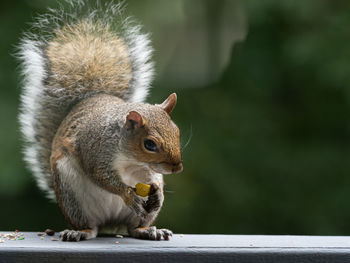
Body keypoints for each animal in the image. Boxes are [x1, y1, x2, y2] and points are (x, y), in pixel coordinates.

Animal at [17, 1, 183, 242]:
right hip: (71, 195)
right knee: (90, 226)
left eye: (177, 131)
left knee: (133, 227)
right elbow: (101, 176)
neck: (129, 157)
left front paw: (159, 193)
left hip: (137, 216)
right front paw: (128, 194)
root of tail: (111, 223)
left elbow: (154, 178)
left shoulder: (146, 170)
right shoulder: (95, 150)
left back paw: (148, 229)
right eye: (149, 144)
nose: (177, 168)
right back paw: (79, 232)